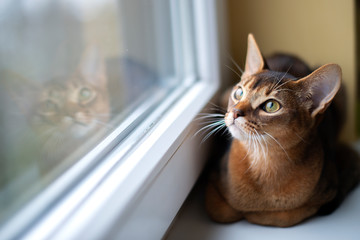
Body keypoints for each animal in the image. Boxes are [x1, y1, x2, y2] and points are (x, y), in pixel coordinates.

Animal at [205, 33, 360, 227]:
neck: (264, 160)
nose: (234, 112)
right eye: (239, 93)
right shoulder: (212, 179)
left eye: (271, 106)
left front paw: (256, 214)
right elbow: (223, 212)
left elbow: (285, 215)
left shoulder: (329, 186)